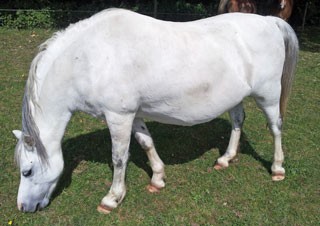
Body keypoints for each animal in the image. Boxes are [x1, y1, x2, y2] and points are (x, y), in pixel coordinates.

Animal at [11, 9, 298, 214]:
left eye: (27, 171)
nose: (23, 208)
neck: (88, 58)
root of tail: (269, 21)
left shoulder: (118, 117)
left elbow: (119, 158)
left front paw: (112, 198)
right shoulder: (133, 114)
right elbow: (146, 143)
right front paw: (158, 179)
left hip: (268, 95)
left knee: (276, 127)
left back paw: (277, 168)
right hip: (236, 97)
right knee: (238, 121)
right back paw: (226, 158)